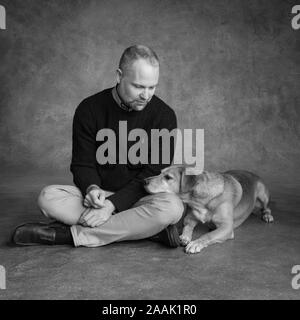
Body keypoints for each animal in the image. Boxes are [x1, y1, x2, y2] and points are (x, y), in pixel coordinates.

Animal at [144, 166, 274, 254]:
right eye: (160, 173)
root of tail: (251, 172)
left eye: (168, 177)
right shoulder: (190, 218)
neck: (199, 200)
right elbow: (187, 227)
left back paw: (267, 215)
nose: (144, 181)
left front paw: (196, 243)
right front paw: (184, 237)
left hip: (262, 195)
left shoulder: (226, 228)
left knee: (267, 207)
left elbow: (208, 236)